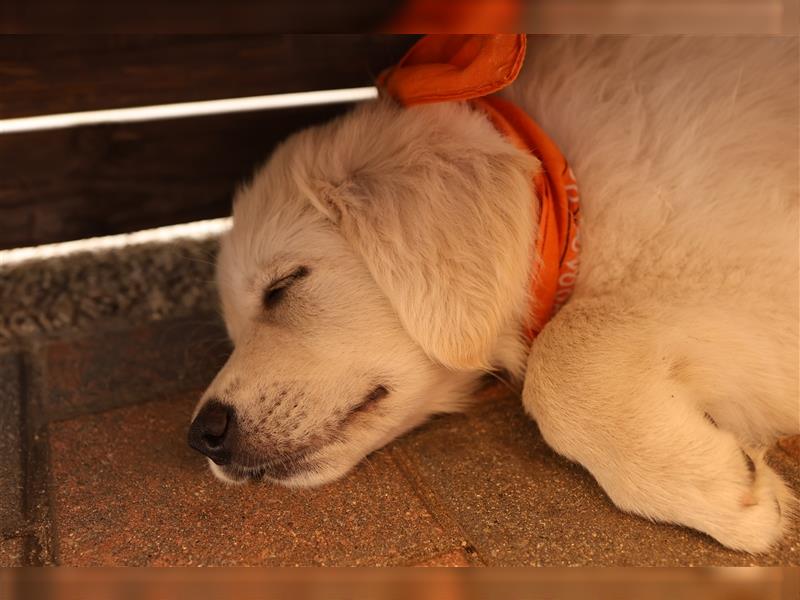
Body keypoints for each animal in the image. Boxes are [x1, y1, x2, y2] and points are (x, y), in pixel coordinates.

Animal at [191, 36, 796, 552]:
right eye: (232, 332)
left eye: (283, 286)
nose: (204, 436)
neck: (572, 197)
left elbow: (562, 349)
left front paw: (715, 487)